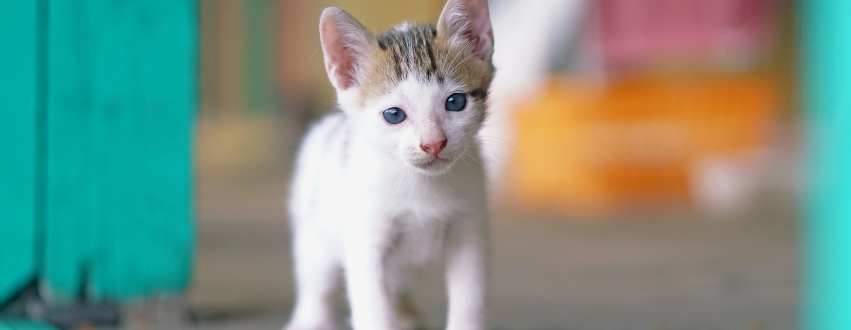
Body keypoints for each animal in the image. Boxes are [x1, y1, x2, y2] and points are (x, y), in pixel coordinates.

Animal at [286, 0, 496, 330]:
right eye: (394, 115)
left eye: (455, 102)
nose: (433, 143)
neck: (420, 184)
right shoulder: (366, 239)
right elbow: (373, 307)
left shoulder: (470, 231)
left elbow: (470, 299)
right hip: (315, 232)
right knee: (315, 282)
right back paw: (310, 319)